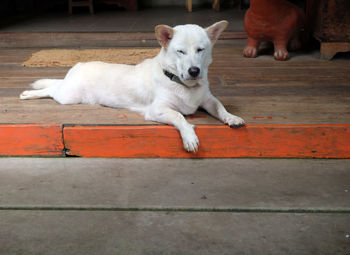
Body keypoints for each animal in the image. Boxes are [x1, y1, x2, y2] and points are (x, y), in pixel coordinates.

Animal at [19, 20, 243, 152]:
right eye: (180, 51)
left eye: (200, 50)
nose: (194, 71)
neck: (185, 85)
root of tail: (78, 65)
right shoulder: (158, 110)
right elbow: (180, 116)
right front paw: (189, 136)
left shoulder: (208, 100)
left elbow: (221, 107)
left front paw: (232, 118)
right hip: (69, 96)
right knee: (51, 90)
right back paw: (28, 94)